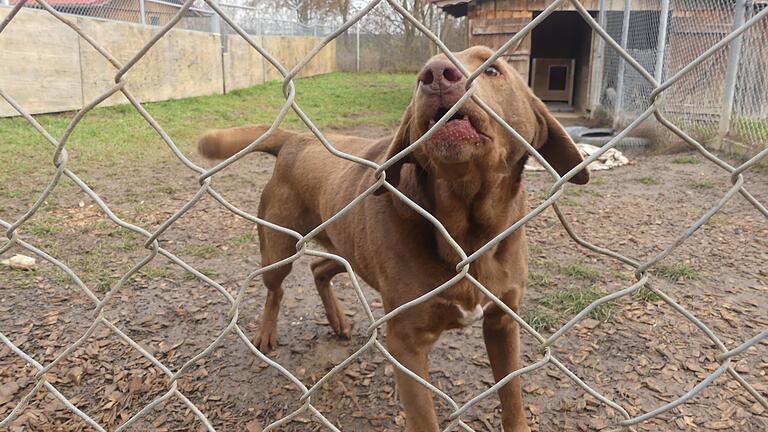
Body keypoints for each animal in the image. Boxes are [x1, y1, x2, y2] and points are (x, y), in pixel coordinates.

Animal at [198, 45, 588, 430]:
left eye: (492, 69)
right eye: (421, 75)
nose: (435, 74)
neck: (467, 230)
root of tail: (297, 138)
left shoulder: (503, 323)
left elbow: (512, 400)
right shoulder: (407, 343)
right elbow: (423, 417)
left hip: (348, 249)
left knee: (319, 269)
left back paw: (337, 321)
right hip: (278, 248)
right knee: (276, 289)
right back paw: (266, 333)